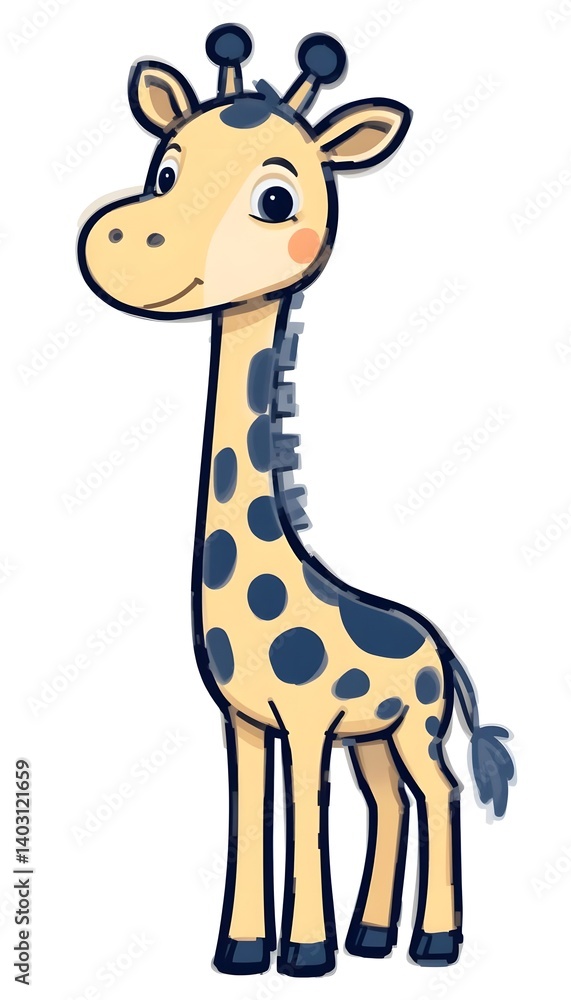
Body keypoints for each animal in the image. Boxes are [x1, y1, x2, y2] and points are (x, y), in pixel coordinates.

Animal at [77, 25, 515, 978]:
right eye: (167, 169)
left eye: (276, 197)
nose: (124, 240)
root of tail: (438, 646)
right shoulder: (243, 723)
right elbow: (250, 815)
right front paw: (243, 951)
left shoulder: (310, 720)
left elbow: (304, 813)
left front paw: (306, 954)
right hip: (377, 738)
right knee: (391, 801)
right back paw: (375, 936)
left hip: (414, 726)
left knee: (440, 792)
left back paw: (433, 942)